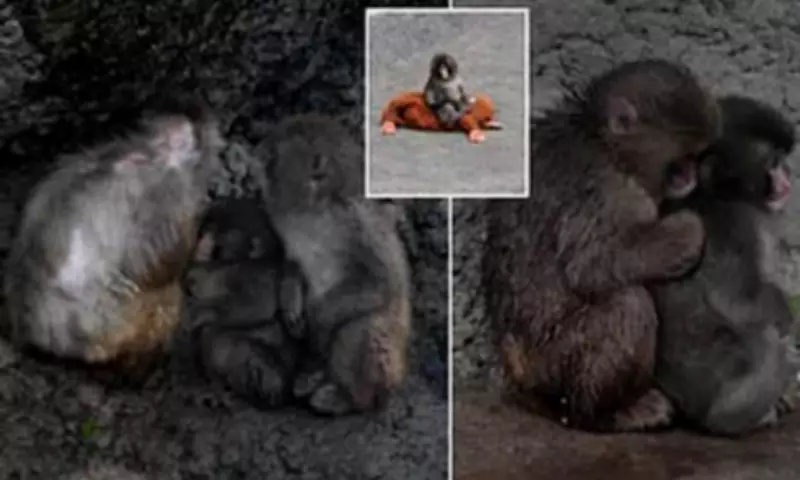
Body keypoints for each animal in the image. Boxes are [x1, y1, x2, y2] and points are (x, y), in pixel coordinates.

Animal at [2, 96, 224, 377]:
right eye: (203, 128)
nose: (212, 118)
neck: (152, 152)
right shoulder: (167, 194)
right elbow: (156, 263)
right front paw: (200, 247)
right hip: (111, 325)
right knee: (162, 299)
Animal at [255, 113, 412, 415]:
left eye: (275, 151)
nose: (259, 151)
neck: (314, 210)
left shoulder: (358, 223)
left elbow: (381, 282)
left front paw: (319, 318)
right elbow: (293, 263)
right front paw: (290, 301)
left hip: (385, 366)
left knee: (360, 329)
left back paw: (344, 397)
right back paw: (309, 377)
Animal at [482, 59, 720, 432]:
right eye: (684, 159)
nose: (692, 177)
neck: (602, 141)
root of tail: (520, 377)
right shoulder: (609, 190)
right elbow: (591, 264)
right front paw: (687, 232)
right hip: (556, 362)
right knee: (628, 304)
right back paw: (607, 413)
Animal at [650, 94, 800, 437]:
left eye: (782, 159)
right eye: (772, 162)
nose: (786, 177)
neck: (722, 193)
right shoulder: (733, 225)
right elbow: (738, 300)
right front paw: (787, 318)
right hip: (715, 392)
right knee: (765, 340)